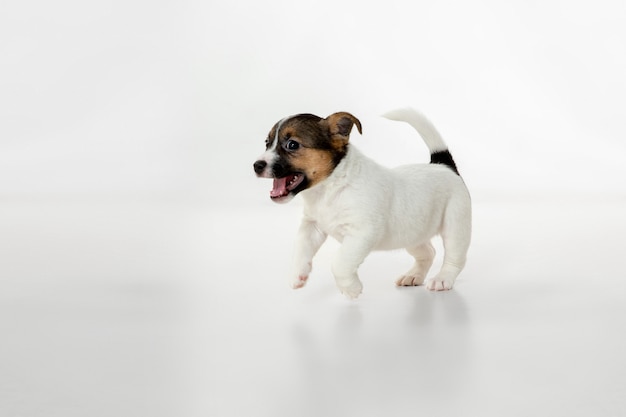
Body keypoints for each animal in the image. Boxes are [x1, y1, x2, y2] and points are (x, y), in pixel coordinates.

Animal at [252, 105, 468, 298]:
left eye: (292, 144)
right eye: (267, 142)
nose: (256, 165)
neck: (328, 189)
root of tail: (443, 166)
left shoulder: (362, 233)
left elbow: (339, 262)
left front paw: (351, 289)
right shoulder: (311, 227)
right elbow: (300, 248)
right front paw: (298, 275)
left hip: (455, 225)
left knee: (455, 258)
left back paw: (442, 279)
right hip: (412, 233)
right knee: (428, 252)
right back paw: (413, 276)